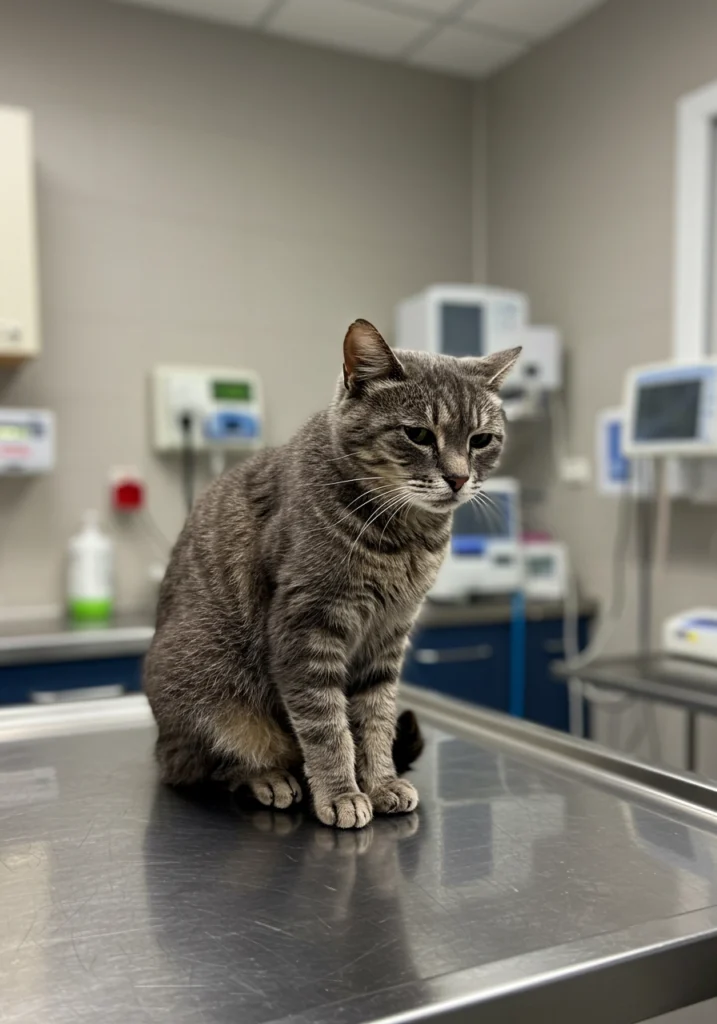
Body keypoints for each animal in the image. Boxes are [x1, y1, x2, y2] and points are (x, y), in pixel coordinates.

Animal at [142, 323, 518, 827]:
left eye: (481, 440)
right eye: (418, 434)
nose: (459, 479)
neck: (405, 539)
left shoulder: (388, 635)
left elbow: (375, 721)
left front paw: (379, 782)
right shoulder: (306, 629)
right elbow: (326, 726)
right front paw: (341, 792)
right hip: (209, 690)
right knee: (212, 765)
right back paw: (269, 778)